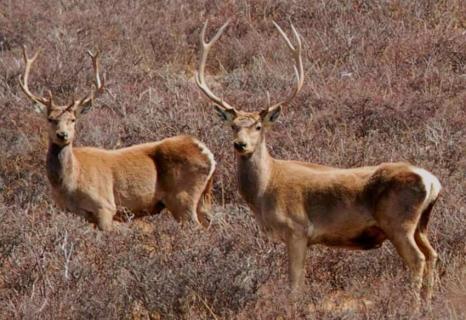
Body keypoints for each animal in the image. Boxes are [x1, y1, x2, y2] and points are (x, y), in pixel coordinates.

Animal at [17, 46, 215, 230]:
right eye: (50, 119)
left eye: (73, 119)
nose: (62, 134)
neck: (69, 183)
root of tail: (207, 154)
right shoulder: (75, 213)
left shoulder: (105, 206)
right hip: (203, 198)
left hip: (183, 197)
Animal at [195, 21, 442, 304]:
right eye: (234, 126)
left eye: (258, 126)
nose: (240, 145)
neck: (264, 191)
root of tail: (432, 181)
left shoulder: (297, 229)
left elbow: (294, 285)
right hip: (420, 224)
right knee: (433, 254)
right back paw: (427, 303)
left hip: (398, 221)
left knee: (417, 259)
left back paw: (412, 305)